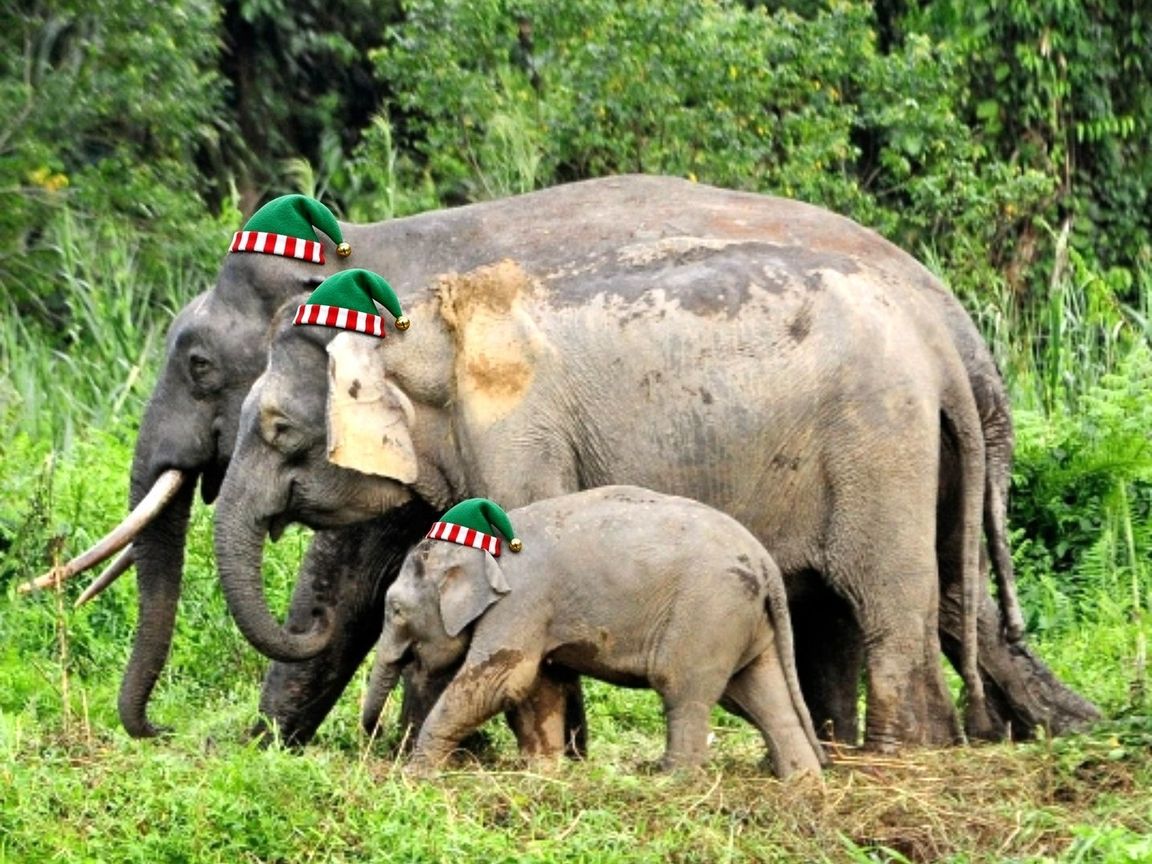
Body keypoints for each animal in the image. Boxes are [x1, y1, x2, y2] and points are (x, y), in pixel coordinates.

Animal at [55, 174, 1094, 743]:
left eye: (199, 365)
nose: (158, 730)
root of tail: (954, 334)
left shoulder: (513, 429)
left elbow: (368, 578)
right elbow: (364, 581)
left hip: (881, 446)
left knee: (899, 603)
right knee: (939, 603)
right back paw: (1057, 733)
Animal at [361, 488, 828, 778]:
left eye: (396, 610)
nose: (374, 737)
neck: (487, 543)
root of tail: (765, 563)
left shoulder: (521, 601)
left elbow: (501, 681)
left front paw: (415, 773)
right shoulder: (540, 613)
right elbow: (540, 686)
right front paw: (543, 771)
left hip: (708, 614)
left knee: (685, 695)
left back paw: (669, 783)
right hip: (745, 621)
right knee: (763, 701)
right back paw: (804, 789)